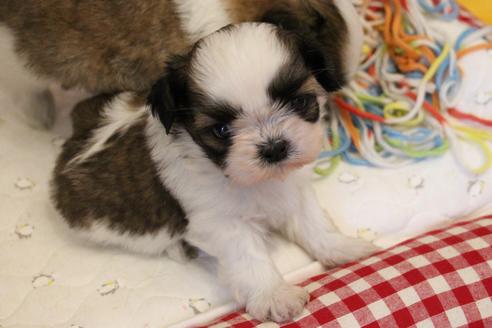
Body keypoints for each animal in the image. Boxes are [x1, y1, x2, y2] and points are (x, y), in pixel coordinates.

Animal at [52, 23, 372, 322]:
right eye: (221, 130)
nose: (274, 148)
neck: (254, 181)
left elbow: (312, 221)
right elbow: (248, 256)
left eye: (299, 101)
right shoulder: (219, 222)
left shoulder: (294, 189)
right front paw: (273, 294)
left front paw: (340, 247)